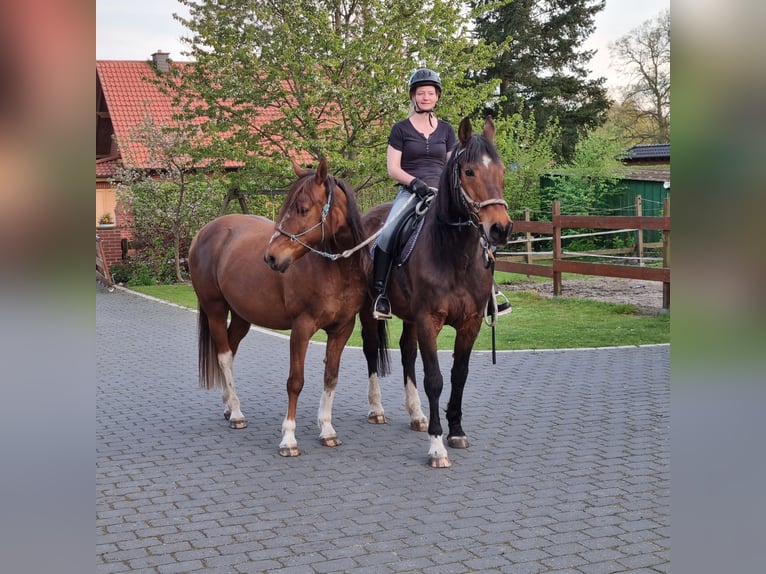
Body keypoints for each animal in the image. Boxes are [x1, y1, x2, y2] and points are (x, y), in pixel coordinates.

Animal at [190, 159, 374, 460]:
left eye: (303, 209)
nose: (271, 257)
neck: (334, 269)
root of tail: (205, 232)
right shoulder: (301, 328)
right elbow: (295, 381)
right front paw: (289, 438)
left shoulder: (343, 329)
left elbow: (331, 377)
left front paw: (327, 430)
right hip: (215, 310)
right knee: (224, 357)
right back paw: (237, 414)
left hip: (241, 316)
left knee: (230, 349)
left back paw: (229, 406)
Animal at [362, 116, 516, 468]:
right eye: (469, 171)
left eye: (501, 170)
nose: (500, 229)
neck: (452, 253)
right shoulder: (428, 320)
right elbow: (434, 379)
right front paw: (436, 447)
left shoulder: (470, 322)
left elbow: (459, 374)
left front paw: (456, 431)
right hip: (367, 310)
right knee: (371, 349)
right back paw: (377, 410)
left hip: (408, 317)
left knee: (406, 352)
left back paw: (416, 415)